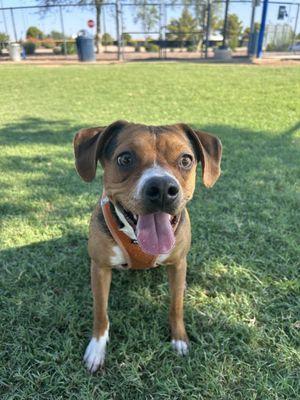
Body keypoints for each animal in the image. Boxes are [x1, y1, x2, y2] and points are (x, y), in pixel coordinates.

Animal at [73, 119, 221, 372]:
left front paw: (179, 339)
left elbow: (176, 306)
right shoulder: (100, 268)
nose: (162, 188)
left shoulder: (178, 264)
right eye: (125, 159)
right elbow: (100, 311)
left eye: (186, 160)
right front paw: (96, 349)